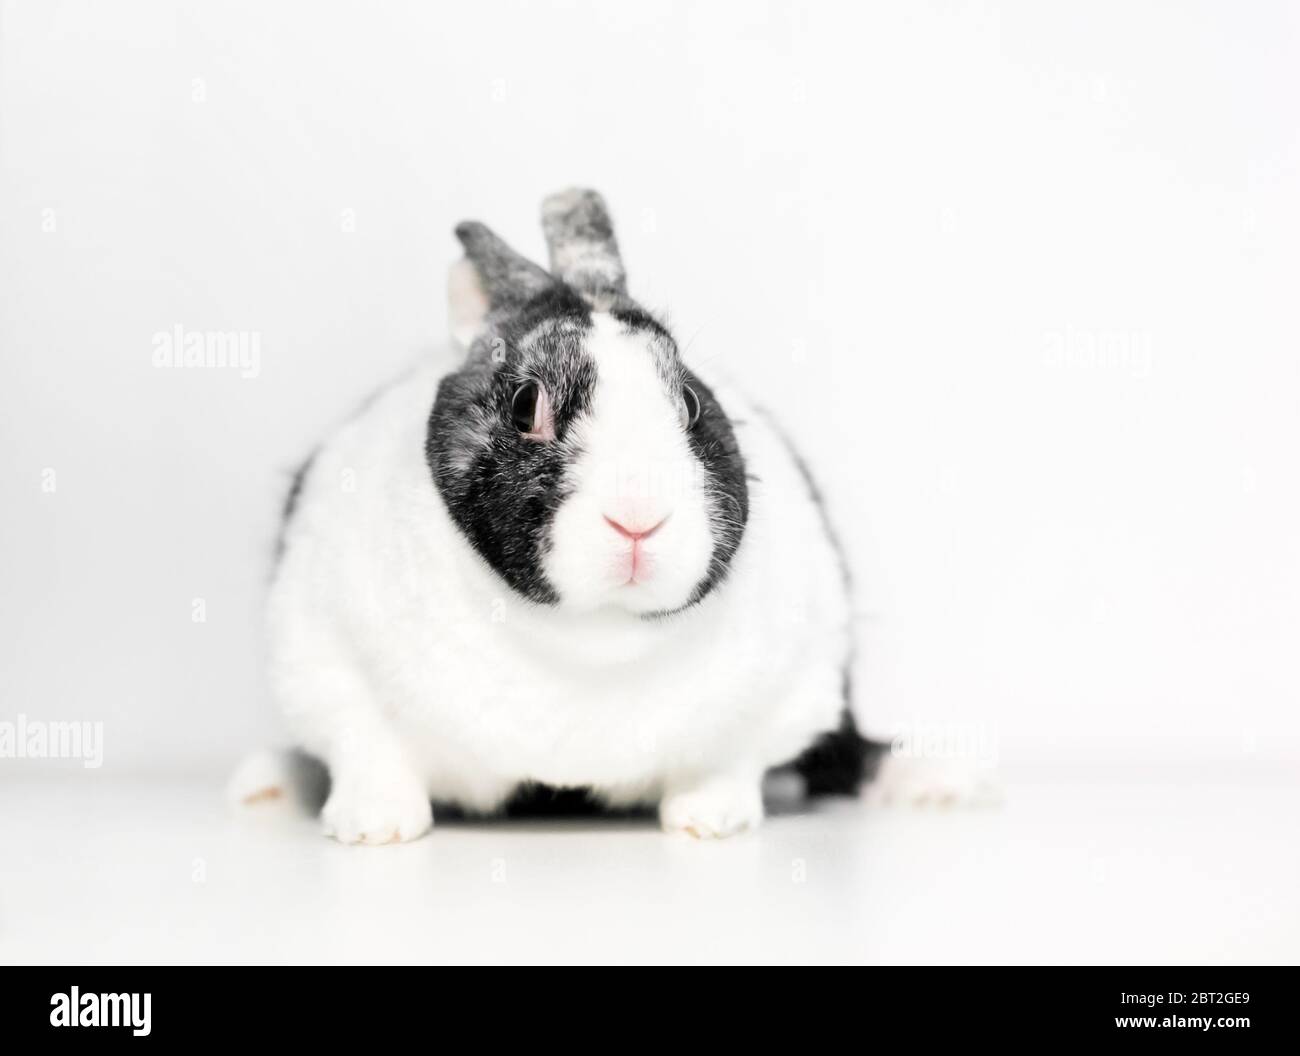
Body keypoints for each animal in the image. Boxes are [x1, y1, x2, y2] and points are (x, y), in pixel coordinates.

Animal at [261, 188, 882, 844]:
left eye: (691, 403)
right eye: (524, 404)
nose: (637, 516)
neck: (591, 640)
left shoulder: (790, 685)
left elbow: (731, 763)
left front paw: (708, 819)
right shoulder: (322, 656)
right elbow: (367, 750)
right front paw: (372, 825)